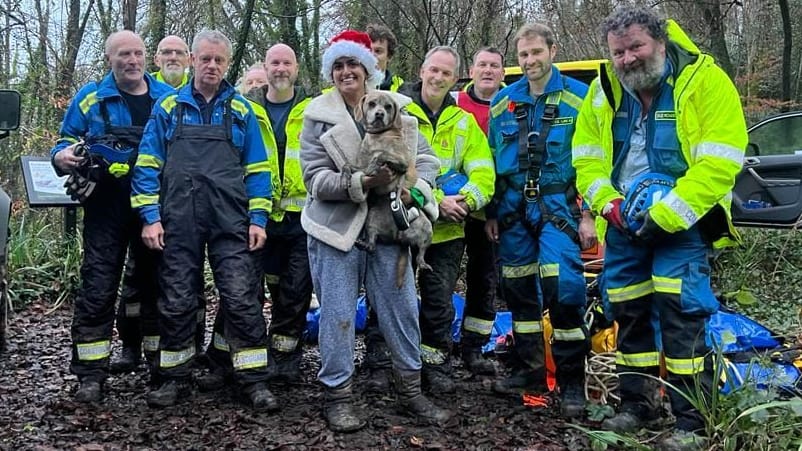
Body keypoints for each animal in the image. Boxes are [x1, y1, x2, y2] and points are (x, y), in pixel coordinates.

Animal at [354, 91, 432, 286]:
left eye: (388, 106)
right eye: (372, 104)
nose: (379, 114)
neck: (379, 136)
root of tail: (400, 238)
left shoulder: (402, 162)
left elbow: (382, 155)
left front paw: (376, 163)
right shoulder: (360, 166)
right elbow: (355, 167)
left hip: (427, 229)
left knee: (420, 254)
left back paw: (423, 263)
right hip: (372, 220)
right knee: (372, 246)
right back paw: (365, 244)